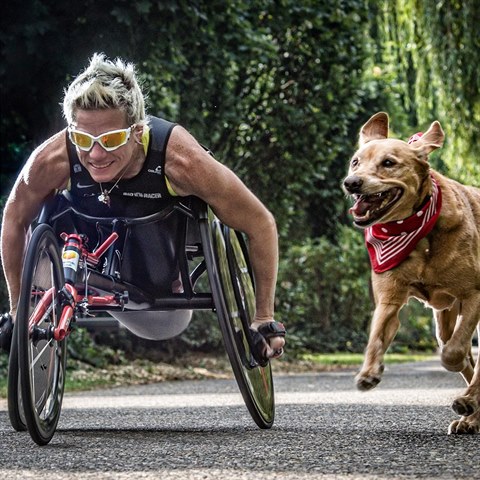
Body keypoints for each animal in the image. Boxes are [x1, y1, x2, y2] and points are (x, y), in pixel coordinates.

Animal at [344, 113, 478, 436]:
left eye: (388, 163)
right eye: (355, 162)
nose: (351, 183)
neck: (415, 231)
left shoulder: (474, 294)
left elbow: (454, 353)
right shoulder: (390, 299)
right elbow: (376, 336)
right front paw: (370, 372)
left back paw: (469, 405)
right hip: (444, 319)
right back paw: (470, 416)